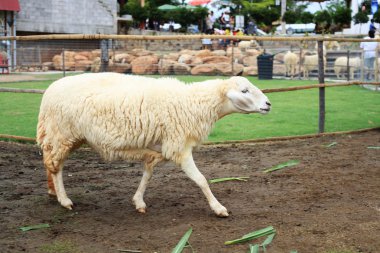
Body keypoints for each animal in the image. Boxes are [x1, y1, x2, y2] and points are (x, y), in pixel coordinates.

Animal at [37, 72, 270, 216]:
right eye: (245, 91)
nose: (268, 104)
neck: (193, 102)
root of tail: (50, 89)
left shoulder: (158, 147)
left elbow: (147, 175)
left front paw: (138, 201)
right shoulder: (179, 147)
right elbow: (202, 180)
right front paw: (219, 208)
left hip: (69, 137)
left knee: (51, 163)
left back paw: (52, 192)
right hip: (62, 134)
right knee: (56, 167)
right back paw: (64, 200)